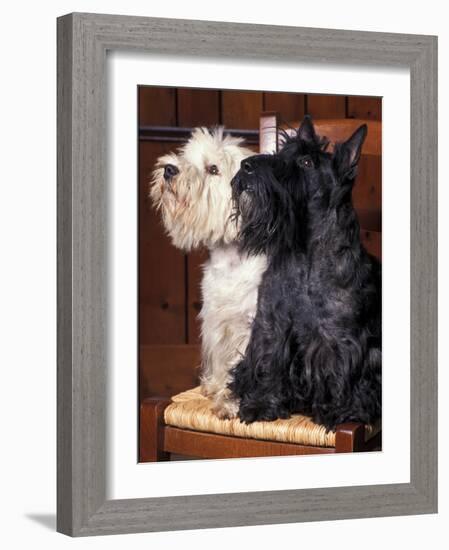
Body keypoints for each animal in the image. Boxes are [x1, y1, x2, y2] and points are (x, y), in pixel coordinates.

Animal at [150, 128, 266, 418]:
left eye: (213, 169)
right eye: (186, 156)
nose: (169, 169)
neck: (231, 259)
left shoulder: (251, 325)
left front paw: (231, 402)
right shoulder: (216, 320)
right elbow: (221, 359)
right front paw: (214, 386)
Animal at [229, 116, 380, 434]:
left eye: (307, 162)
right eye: (283, 151)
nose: (246, 165)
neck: (306, 257)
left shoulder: (340, 337)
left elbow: (340, 372)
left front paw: (339, 410)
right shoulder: (271, 327)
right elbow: (270, 363)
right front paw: (262, 403)